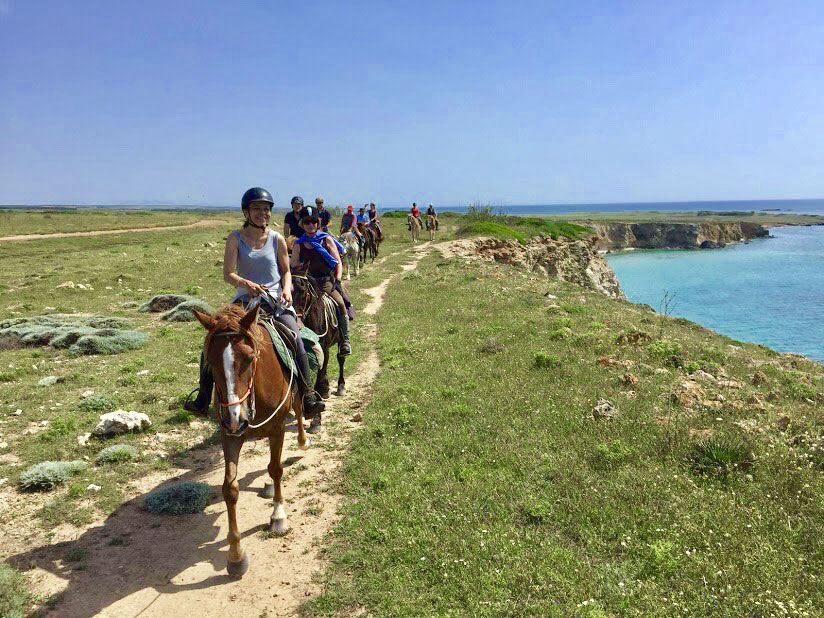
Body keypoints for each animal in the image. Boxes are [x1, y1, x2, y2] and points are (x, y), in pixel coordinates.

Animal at [193, 304, 308, 576]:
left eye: (249, 358)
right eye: (210, 362)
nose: (236, 418)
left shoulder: (277, 429)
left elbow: (276, 469)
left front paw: (278, 515)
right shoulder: (229, 436)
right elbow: (230, 488)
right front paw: (235, 555)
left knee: (300, 409)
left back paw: (302, 439)